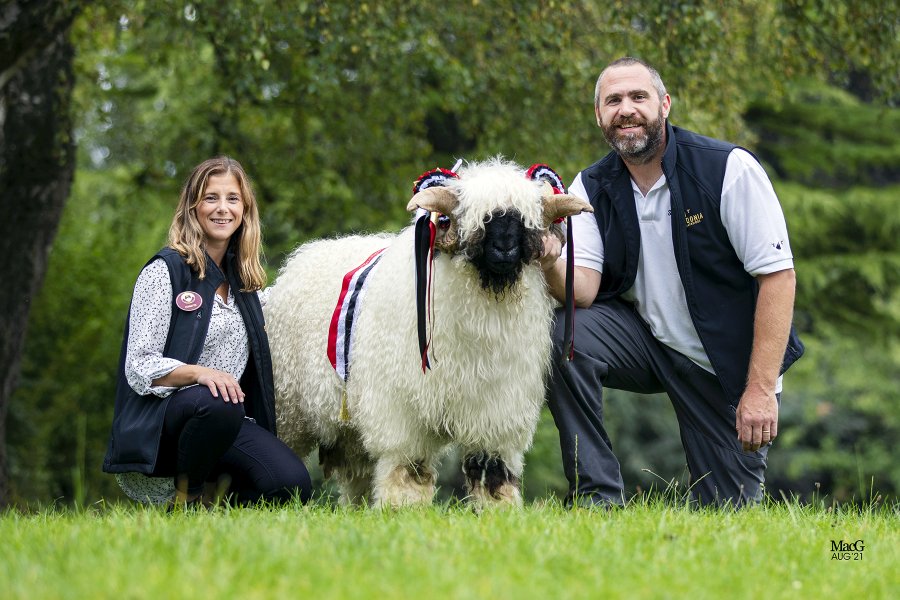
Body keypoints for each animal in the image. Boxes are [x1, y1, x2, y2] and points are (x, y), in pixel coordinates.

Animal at [264, 157, 596, 508]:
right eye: (479, 220)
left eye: (524, 223)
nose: (505, 251)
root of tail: (305, 256)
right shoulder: (402, 406)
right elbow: (408, 462)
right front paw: (402, 506)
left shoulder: (496, 406)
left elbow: (491, 465)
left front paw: (498, 507)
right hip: (288, 407)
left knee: (357, 470)